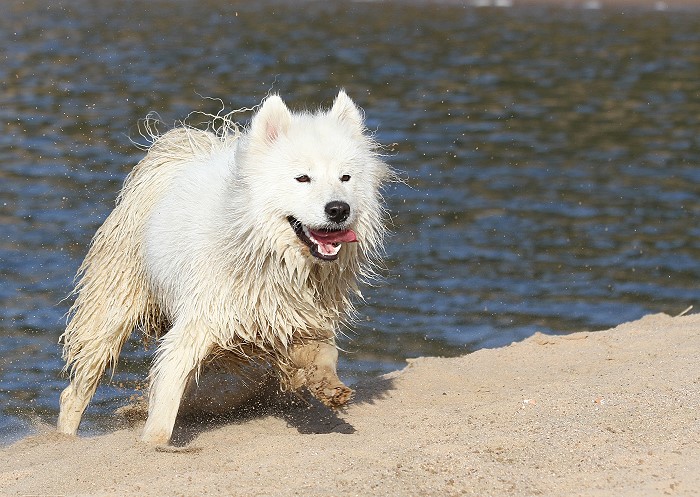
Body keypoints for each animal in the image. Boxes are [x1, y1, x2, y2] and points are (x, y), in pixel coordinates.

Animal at [57, 91, 392, 444]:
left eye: (346, 177)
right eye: (303, 178)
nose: (339, 209)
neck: (270, 256)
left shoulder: (298, 319)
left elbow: (325, 354)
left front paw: (330, 387)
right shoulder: (197, 323)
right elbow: (167, 394)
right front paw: (155, 443)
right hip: (113, 307)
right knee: (77, 388)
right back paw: (65, 437)